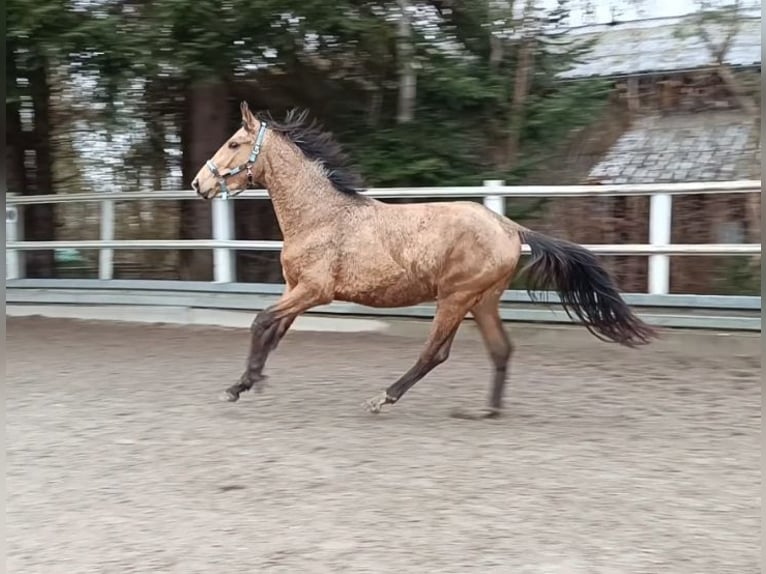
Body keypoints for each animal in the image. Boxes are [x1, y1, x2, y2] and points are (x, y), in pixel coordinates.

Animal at [190, 101, 656, 420]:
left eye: (234, 143)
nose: (198, 184)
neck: (321, 216)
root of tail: (510, 227)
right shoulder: (296, 289)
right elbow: (273, 331)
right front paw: (245, 383)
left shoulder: (314, 291)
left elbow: (260, 322)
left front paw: (244, 384)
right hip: (482, 301)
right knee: (501, 349)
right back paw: (487, 411)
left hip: (455, 298)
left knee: (435, 353)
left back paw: (383, 398)